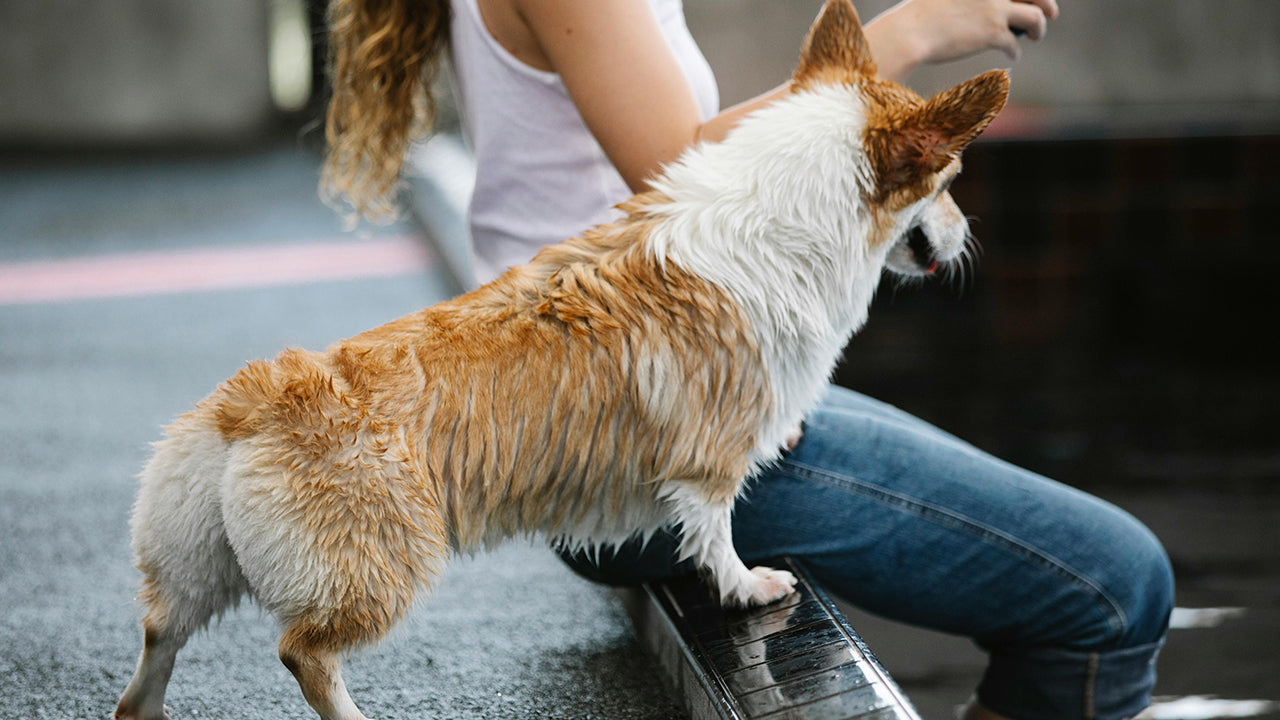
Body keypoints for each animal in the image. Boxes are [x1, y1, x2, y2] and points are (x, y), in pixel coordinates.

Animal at [115, 2, 1003, 712]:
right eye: (949, 183)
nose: (966, 238)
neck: (784, 217)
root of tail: (246, 406)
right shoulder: (710, 461)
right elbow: (716, 533)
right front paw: (750, 587)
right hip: (381, 566)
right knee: (302, 651)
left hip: (192, 561)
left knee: (159, 634)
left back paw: (144, 709)